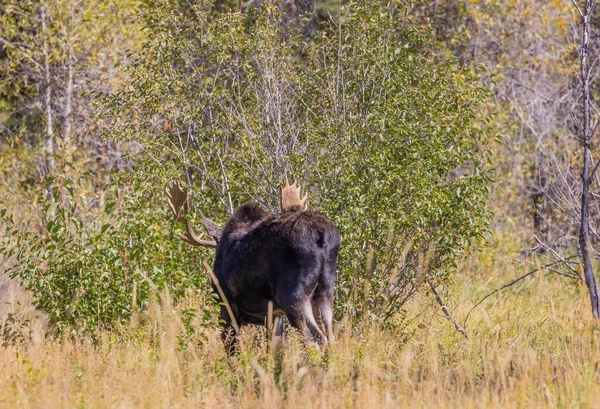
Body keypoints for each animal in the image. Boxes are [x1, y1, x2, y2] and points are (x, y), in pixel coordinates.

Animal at [166, 180, 340, 350]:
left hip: (294, 296)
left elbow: (232, 349)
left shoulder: (226, 306)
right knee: (330, 339)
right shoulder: (275, 315)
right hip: (324, 291)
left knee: (315, 341)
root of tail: (320, 233)